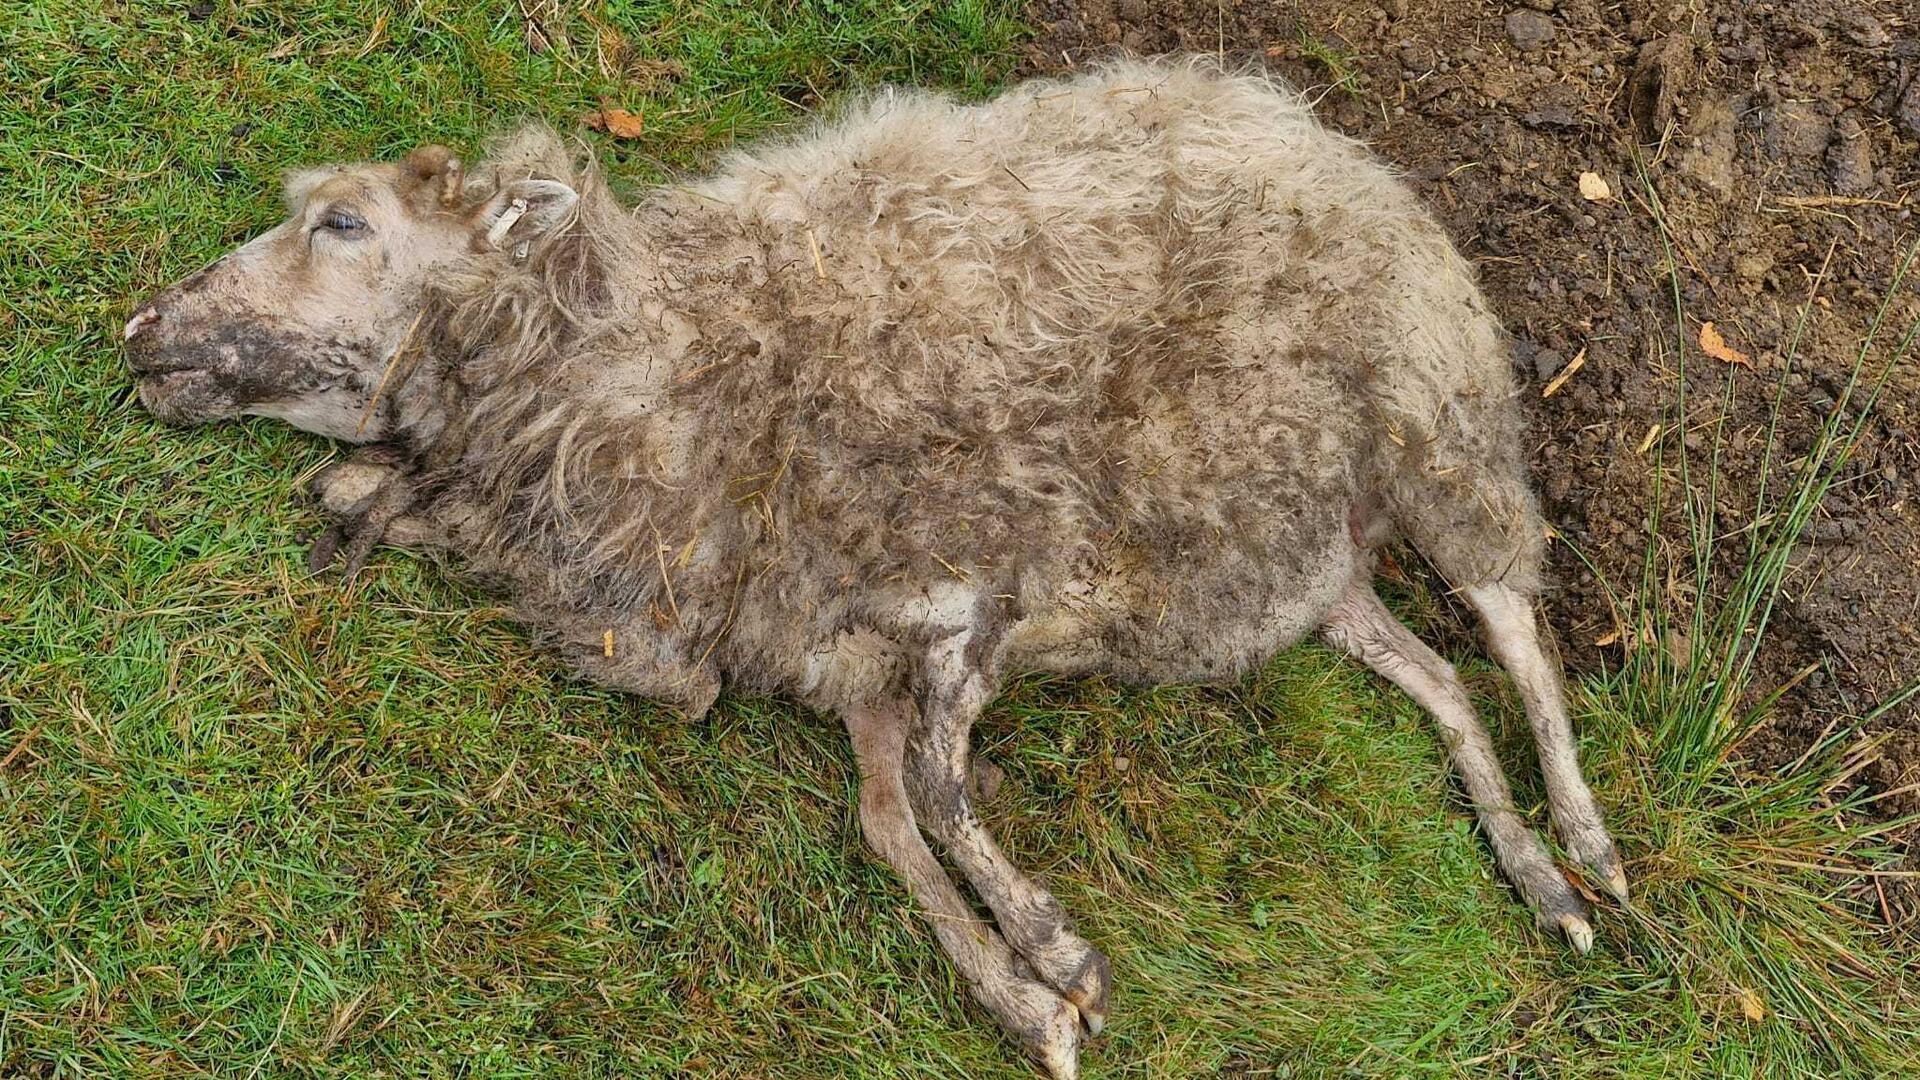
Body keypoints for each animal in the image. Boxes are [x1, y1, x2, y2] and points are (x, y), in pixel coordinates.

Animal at [124, 57, 1623, 1077]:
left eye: (344, 224)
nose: (144, 331)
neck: (656, 357)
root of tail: (1304, 121)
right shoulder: (852, 660)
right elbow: (887, 824)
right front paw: (1028, 999)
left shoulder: (980, 590)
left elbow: (944, 800)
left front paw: (1055, 952)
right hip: (1306, 569)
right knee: (1435, 675)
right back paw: (1531, 869)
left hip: (1435, 413)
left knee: (1510, 620)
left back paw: (1587, 849)